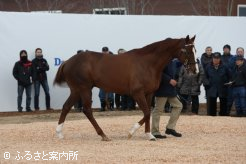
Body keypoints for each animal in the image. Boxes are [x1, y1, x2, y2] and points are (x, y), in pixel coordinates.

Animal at [54, 35, 197, 141]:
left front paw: (149, 135)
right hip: (84, 89)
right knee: (87, 110)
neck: (148, 63)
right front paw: (131, 132)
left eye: (195, 50)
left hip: (76, 90)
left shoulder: (149, 93)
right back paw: (103, 135)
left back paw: (60, 133)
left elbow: (148, 113)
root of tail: (67, 62)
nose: (194, 70)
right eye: (187, 51)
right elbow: (146, 112)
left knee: (66, 107)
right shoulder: (137, 93)